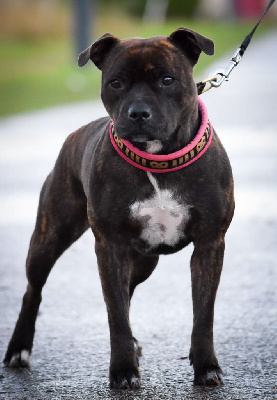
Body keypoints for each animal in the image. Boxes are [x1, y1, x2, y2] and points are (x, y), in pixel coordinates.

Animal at [3, 27, 233, 388]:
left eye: (167, 79)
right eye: (115, 82)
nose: (137, 113)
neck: (158, 160)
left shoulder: (210, 244)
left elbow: (203, 313)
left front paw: (206, 366)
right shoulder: (110, 247)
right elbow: (116, 314)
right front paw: (124, 371)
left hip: (143, 260)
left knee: (129, 290)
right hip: (49, 237)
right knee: (33, 291)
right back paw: (18, 350)